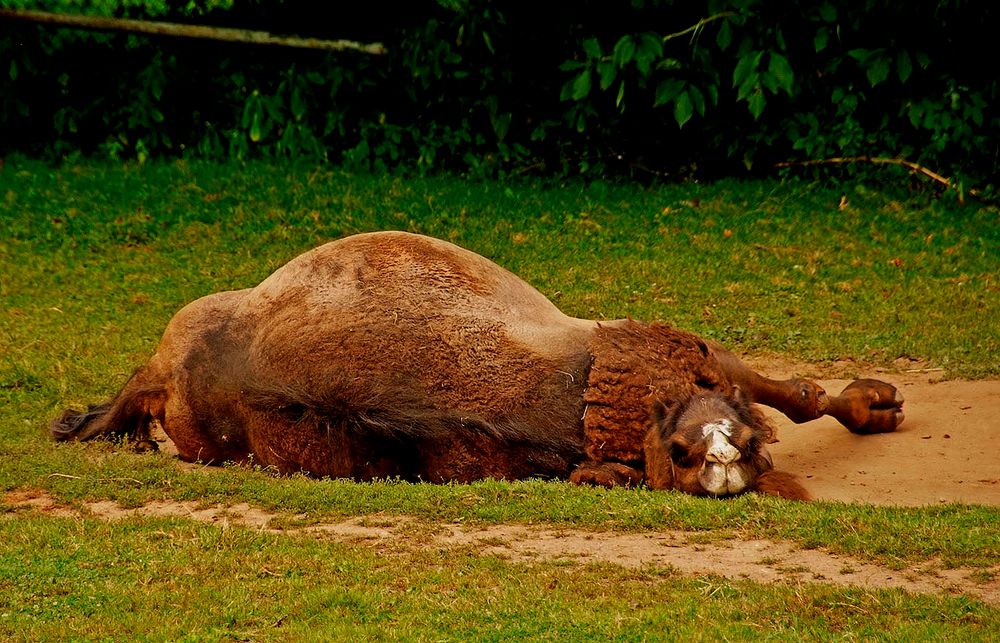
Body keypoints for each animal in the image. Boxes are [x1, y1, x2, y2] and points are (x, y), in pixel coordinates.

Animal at [50, 229, 904, 500]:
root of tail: (161, 373)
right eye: (682, 453)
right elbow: (794, 391)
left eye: (740, 451)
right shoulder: (671, 347)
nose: (718, 455)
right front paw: (875, 403)